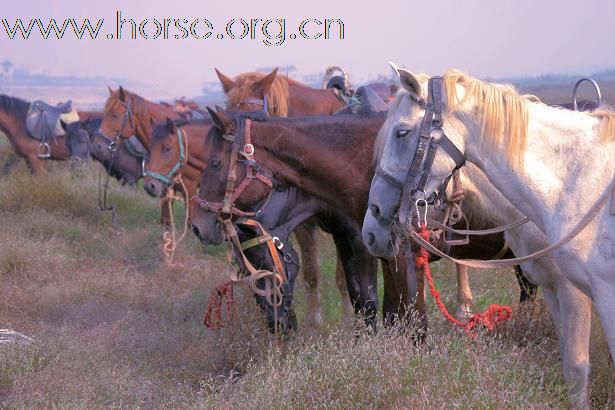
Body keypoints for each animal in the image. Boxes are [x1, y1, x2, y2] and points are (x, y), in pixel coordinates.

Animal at [364, 67, 612, 406]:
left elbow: (576, 366)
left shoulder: (580, 293)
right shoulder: (551, 287)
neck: (575, 183)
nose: (371, 228)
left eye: (401, 132)